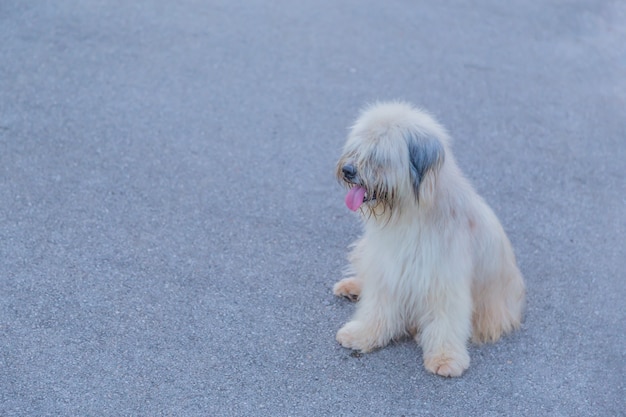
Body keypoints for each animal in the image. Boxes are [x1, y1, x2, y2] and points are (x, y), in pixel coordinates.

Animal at [334, 101, 524, 376]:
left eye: (379, 156)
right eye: (356, 148)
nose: (348, 170)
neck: (412, 214)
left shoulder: (444, 279)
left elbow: (447, 319)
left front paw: (446, 357)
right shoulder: (388, 267)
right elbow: (376, 306)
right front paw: (363, 334)